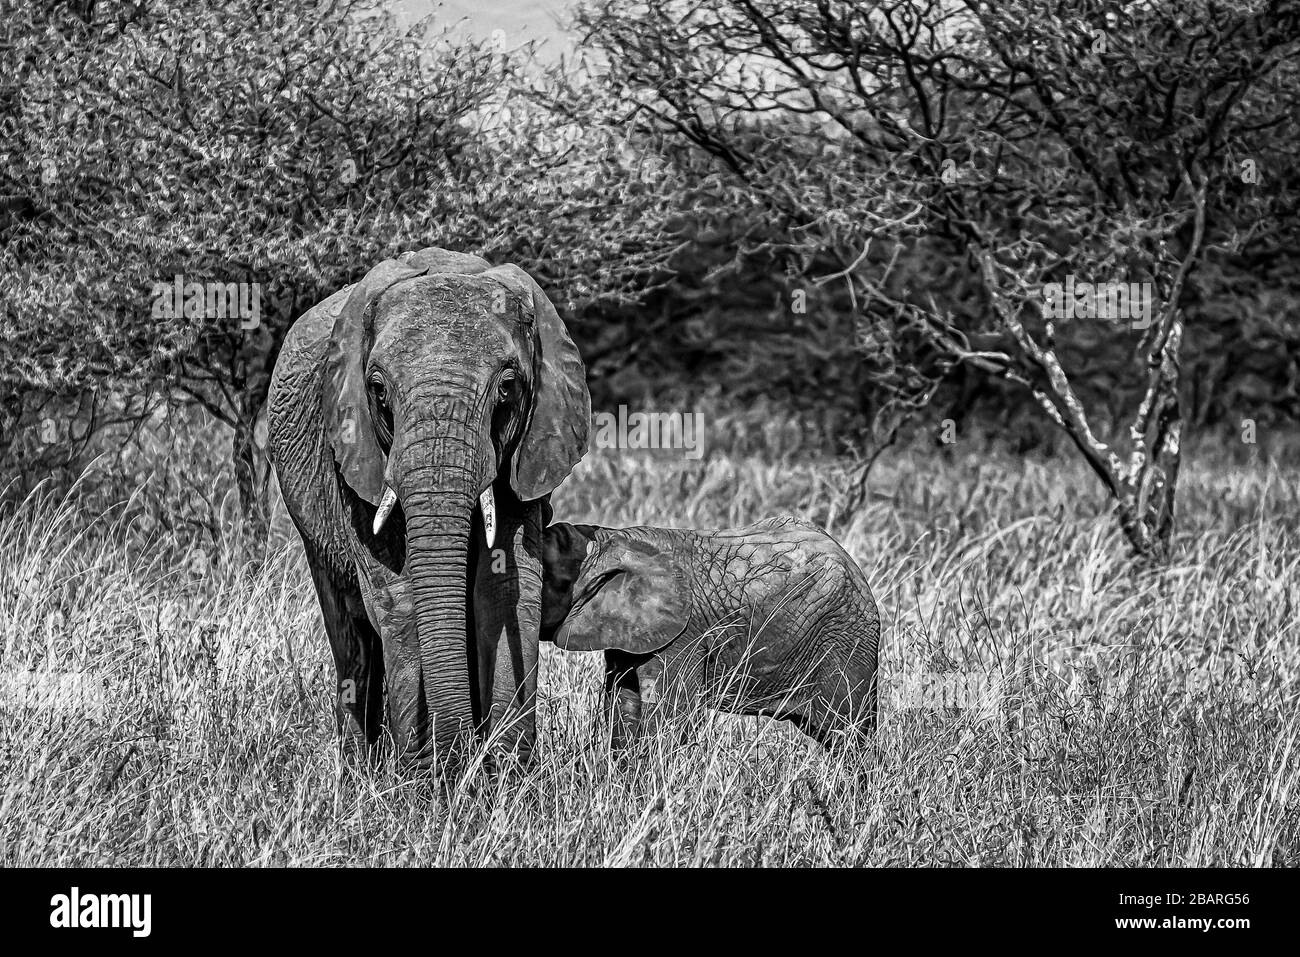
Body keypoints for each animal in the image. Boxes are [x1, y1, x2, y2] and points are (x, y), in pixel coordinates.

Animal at [271, 247, 592, 769]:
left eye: (507, 388)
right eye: (379, 391)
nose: (459, 756)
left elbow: (505, 590)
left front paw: (506, 776)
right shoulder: (356, 457)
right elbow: (398, 600)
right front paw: (426, 782)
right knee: (351, 639)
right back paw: (360, 773)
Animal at [543, 514, 878, 748]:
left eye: (555, 582)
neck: (611, 536)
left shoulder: (685, 637)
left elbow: (669, 715)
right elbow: (623, 704)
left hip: (846, 638)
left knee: (847, 735)